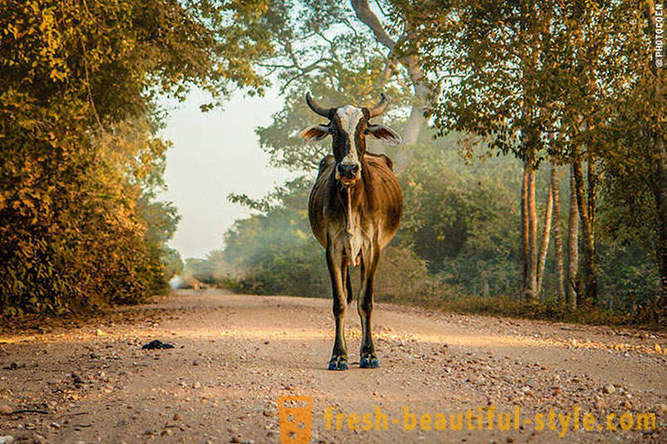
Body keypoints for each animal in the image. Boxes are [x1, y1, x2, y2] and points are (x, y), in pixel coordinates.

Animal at [302, 92, 404, 370]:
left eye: (363, 129)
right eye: (334, 130)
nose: (348, 169)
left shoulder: (372, 248)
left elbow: (366, 302)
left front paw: (369, 354)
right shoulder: (333, 250)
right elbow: (339, 302)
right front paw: (339, 356)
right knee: (348, 296)